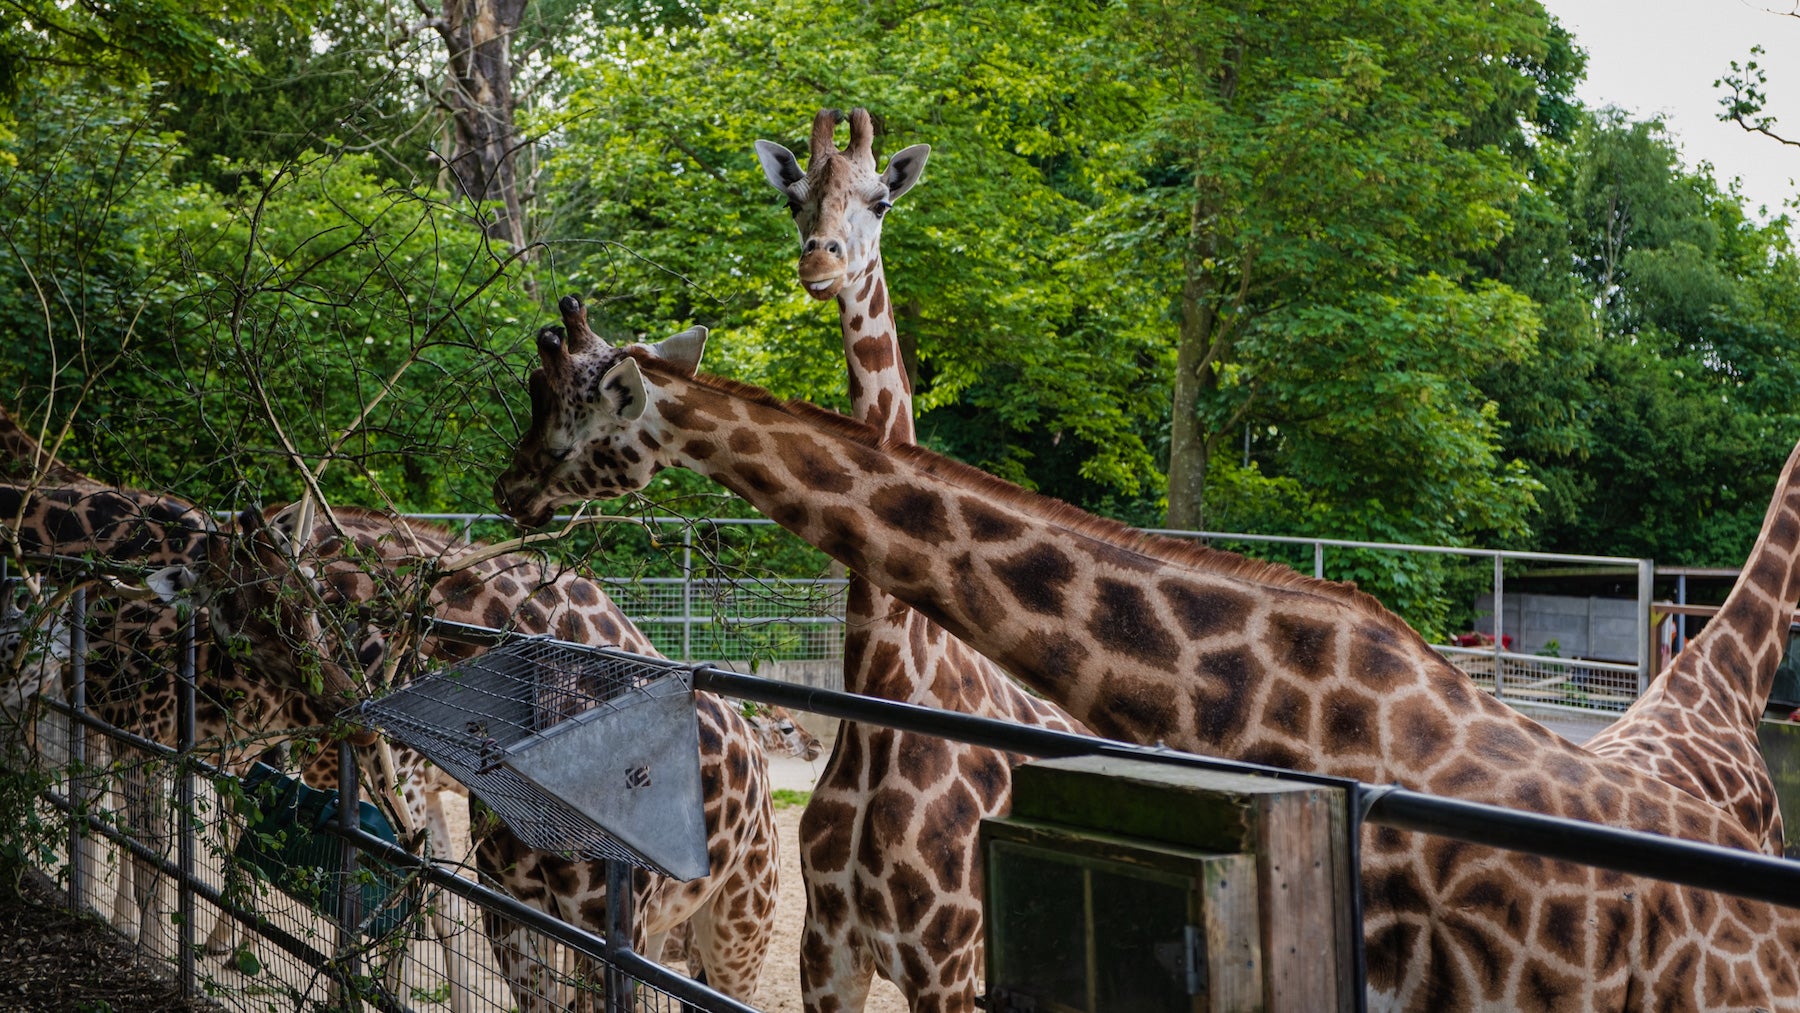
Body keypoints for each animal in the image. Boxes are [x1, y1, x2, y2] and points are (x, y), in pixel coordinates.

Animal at [186, 500, 781, 1006]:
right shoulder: (512, 904)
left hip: (742, 923)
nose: (343, 706)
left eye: (304, 589)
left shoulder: (606, 928)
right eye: (225, 619)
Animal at [756, 107, 1089, 1013]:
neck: (886, 699)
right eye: (795, 196)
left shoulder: (944, 961)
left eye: (881, 199)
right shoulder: (829, 953)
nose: (819, 261)